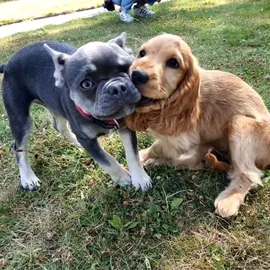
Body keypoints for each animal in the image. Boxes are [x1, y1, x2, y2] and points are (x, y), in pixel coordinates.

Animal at [0, 32, 152, 192]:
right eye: (86, 84)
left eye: (128, 68)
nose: (117, 87)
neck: (102, 119)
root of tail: (7, 65)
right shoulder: (87, 140)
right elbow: (107, 161)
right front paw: (123, 178)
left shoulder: (126, 126)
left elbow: (132, 152)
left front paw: (139, 178)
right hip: (20, 119)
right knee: (18, 147)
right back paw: (28, 178)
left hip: (55, 105)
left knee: (59, 126)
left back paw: (74, 142)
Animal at [125, 33, 270, 218]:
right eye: (142, 53)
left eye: (174, 63)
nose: (137, 75)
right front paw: (146, 157)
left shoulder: (182, 138)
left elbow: (157, 146)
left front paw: (143, 155)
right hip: (208, 141)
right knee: (195, 163)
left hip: (240, 124)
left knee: (248, 174)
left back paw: (229, 199)